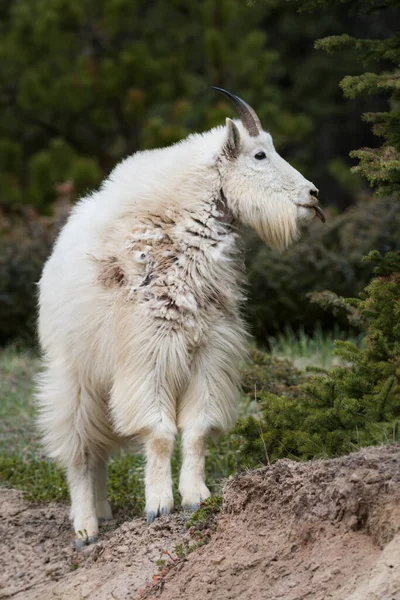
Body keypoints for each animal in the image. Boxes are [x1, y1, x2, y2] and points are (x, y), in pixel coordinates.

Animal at [37, 88, 324, 544]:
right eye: (260, 154)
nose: (313, 195)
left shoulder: (208, 354)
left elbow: (197, 430)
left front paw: (195, 497)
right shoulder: (148, 356)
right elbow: (158, 434)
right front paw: (158, 506)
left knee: (98, 452)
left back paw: (104, 513)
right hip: (74, 376)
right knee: (80, 450)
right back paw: (86, 528)